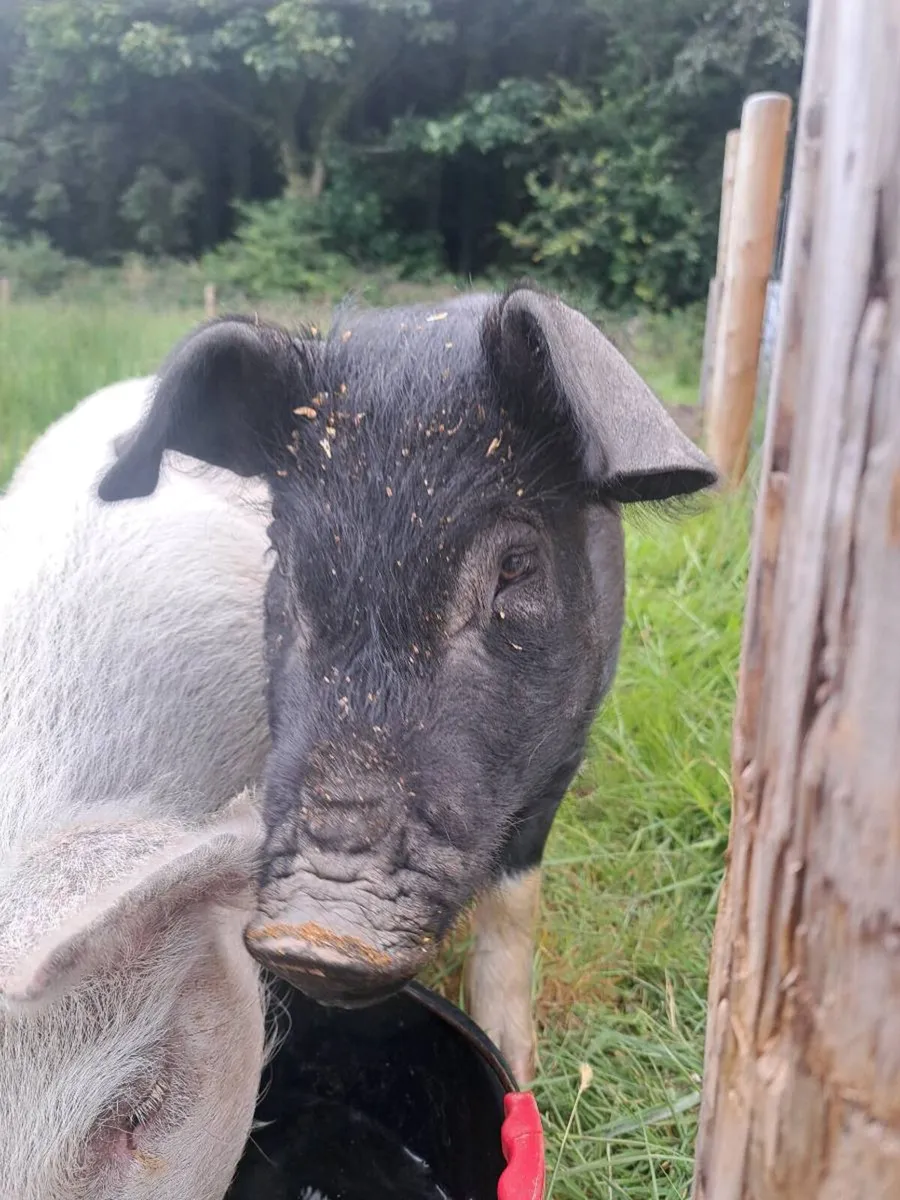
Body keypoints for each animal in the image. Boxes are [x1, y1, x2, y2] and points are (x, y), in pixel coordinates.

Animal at [97, 283, 717, 1083]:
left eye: (516, 565)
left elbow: (515, 899)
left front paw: (519, 1062)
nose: (316, 935)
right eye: (283, 557)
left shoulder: (566, 751)